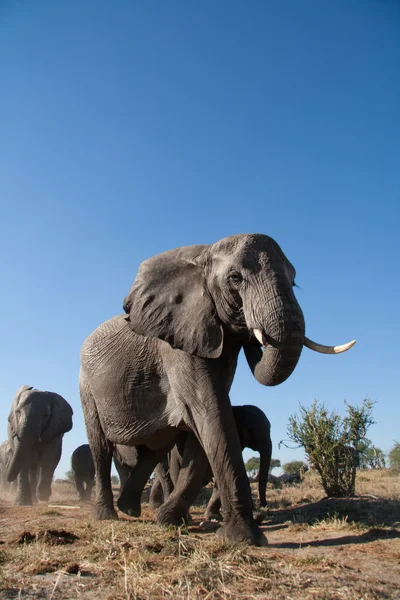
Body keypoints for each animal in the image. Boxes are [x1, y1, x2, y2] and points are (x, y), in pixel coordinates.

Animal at [79, 232, 354, 548]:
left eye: (294, 282)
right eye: (235, 278)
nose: (254, 335)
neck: (202, 257)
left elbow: (205, 429)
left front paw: (170, 521)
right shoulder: (178, 344)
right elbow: (210, 414)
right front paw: (243, 538)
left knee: (155, 448)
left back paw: (132, 510)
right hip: (86, 386)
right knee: (101, 446)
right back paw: (107, 516)